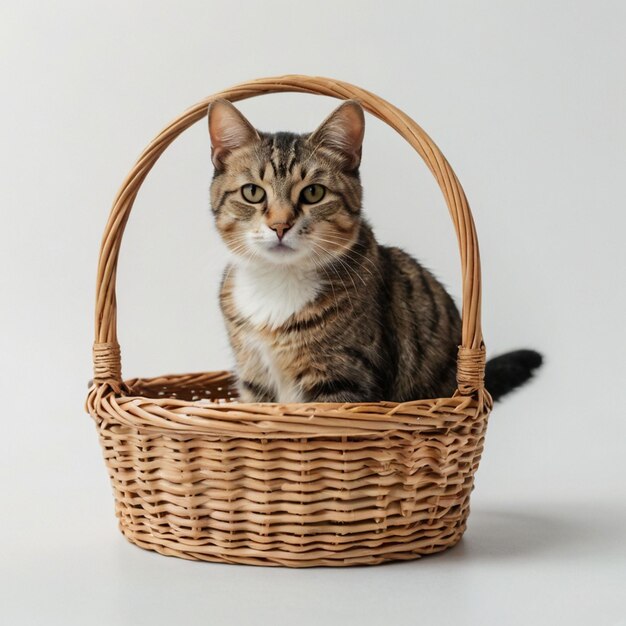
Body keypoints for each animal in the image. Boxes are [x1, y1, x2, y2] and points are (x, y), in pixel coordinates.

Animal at [207, 97, 540, 400]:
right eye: (252, 192)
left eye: (313, 193)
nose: (280, 225)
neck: (278, 283)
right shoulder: (255, 382)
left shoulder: (344, 379)